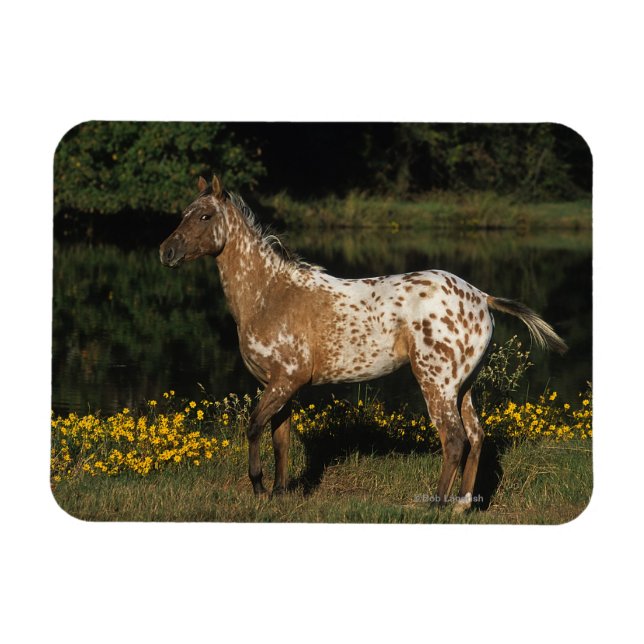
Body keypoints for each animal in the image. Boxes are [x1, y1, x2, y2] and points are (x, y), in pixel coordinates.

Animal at [160, 175, 567, 511]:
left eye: (205, 217)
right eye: (183, 214)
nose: (166, 252)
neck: (269, 293)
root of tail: (482, 297)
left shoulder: (284, 382)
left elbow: (254, 427)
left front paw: (259, 488)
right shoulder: (280, 386)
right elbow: (280, 440)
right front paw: (278, 494)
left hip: (436, 383)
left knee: (454, 439)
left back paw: (436, 507)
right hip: (463, 386)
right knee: (476, 436)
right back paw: (461, 506)